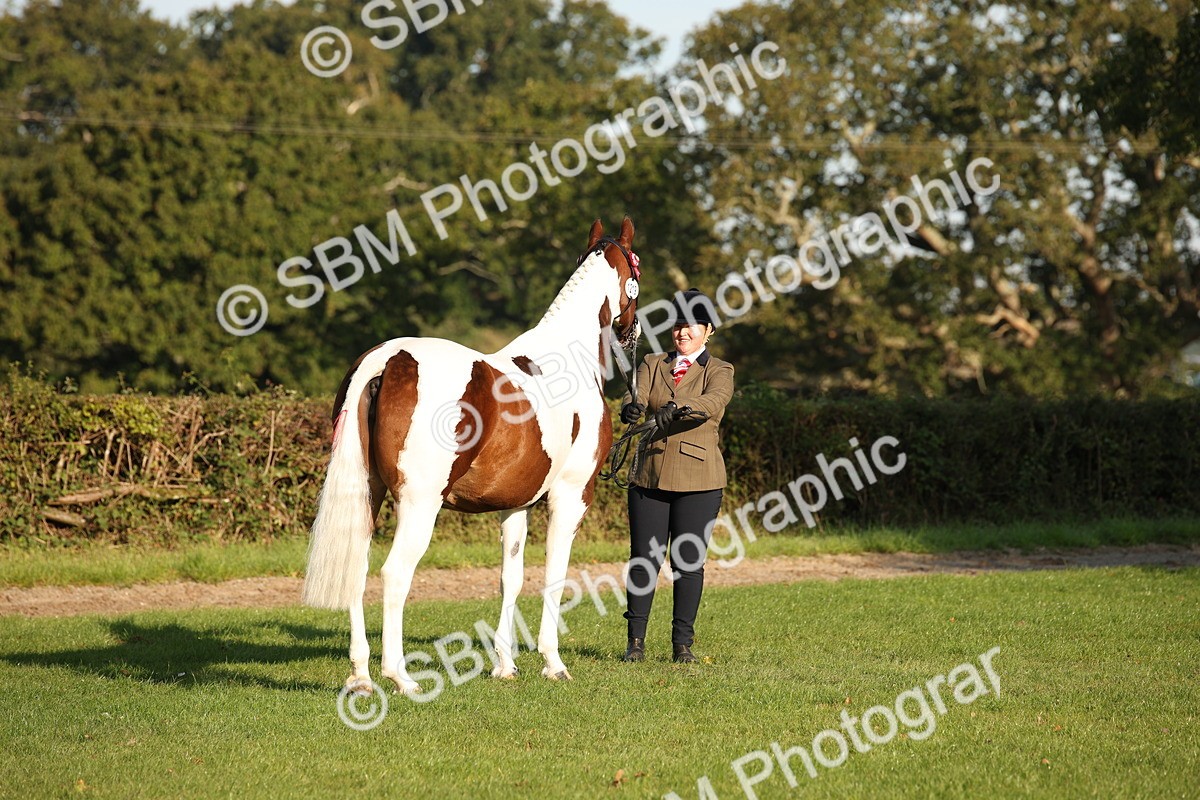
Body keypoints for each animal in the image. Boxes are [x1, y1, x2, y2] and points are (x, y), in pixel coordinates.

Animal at [303, 216, 642, 695]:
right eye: (637, 267)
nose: (632, 332)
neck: (566, 356)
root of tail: (386, 359)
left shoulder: (516, 505)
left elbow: (510, 579)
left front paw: (505, 664)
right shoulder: (572, 496)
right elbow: (554, 575)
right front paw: (553, 662)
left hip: (367, 494)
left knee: (357, 566)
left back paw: (361, 675)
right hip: (420, 504)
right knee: (395, 573)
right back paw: (401, 676)